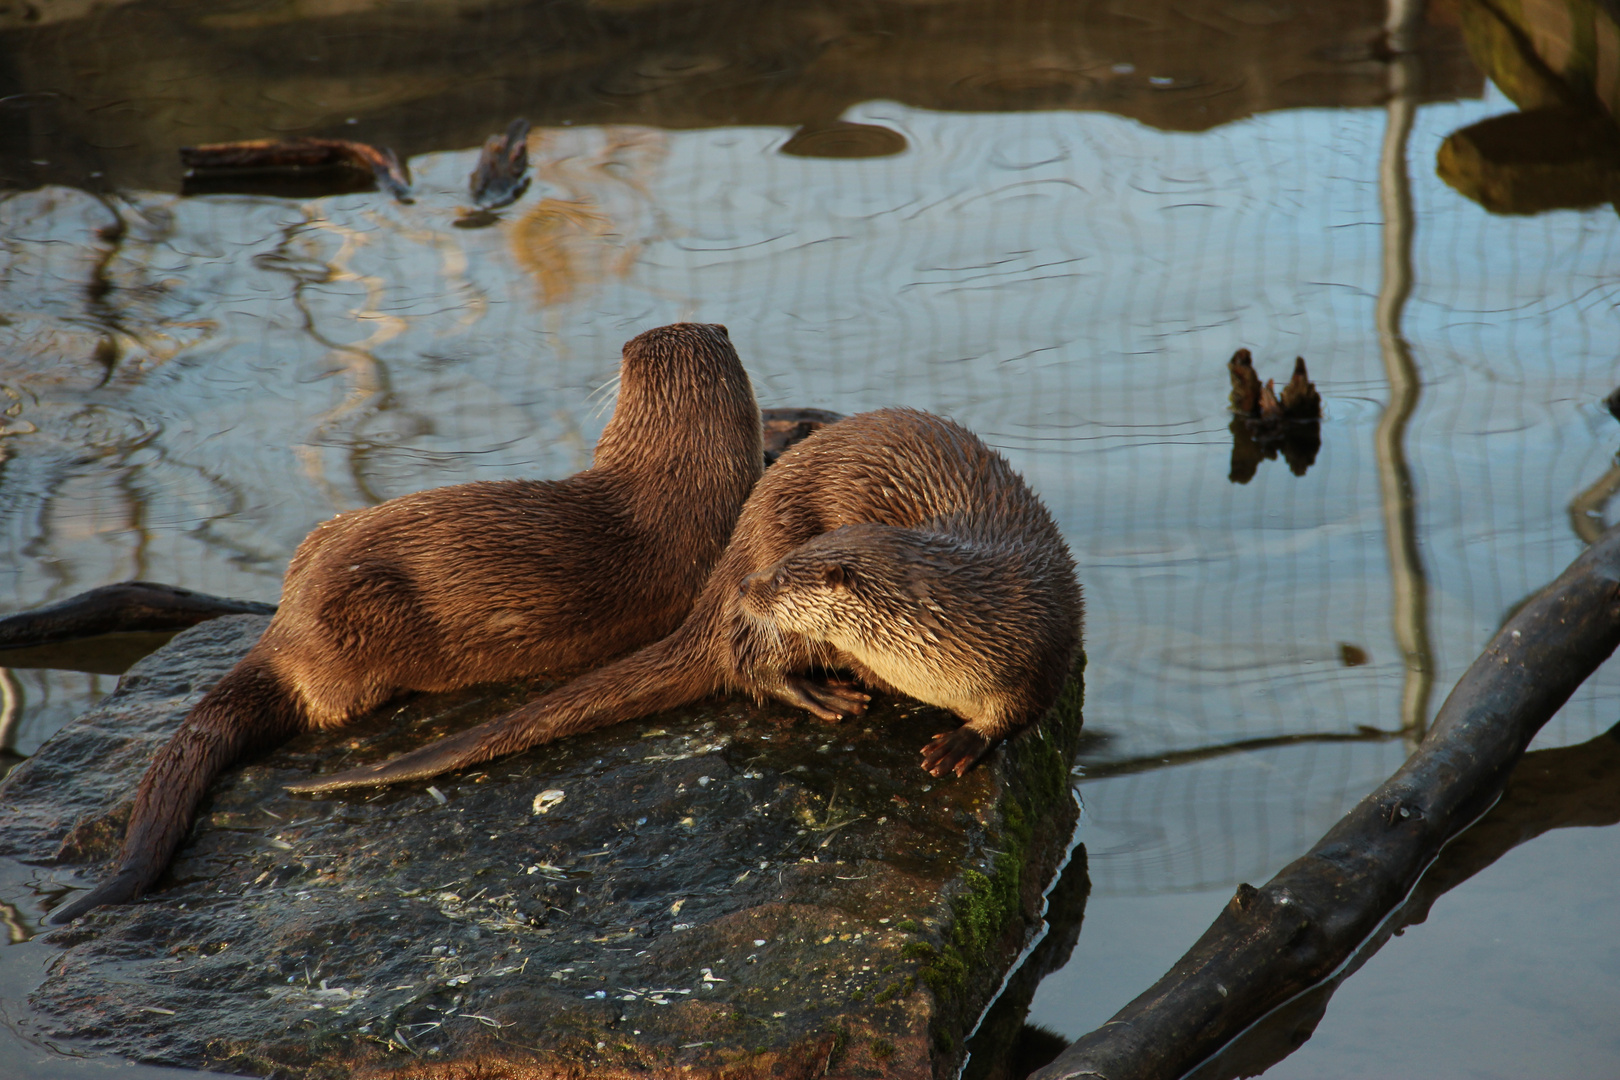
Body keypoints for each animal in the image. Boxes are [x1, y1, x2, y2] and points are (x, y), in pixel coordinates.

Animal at [291, 409, 1082, 799]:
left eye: (787, 581)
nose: (753, 586)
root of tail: (732, 551)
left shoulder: (1043, 638)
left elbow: (1021, 707)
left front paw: (963, 741)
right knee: (744, 661)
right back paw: (820, 693)